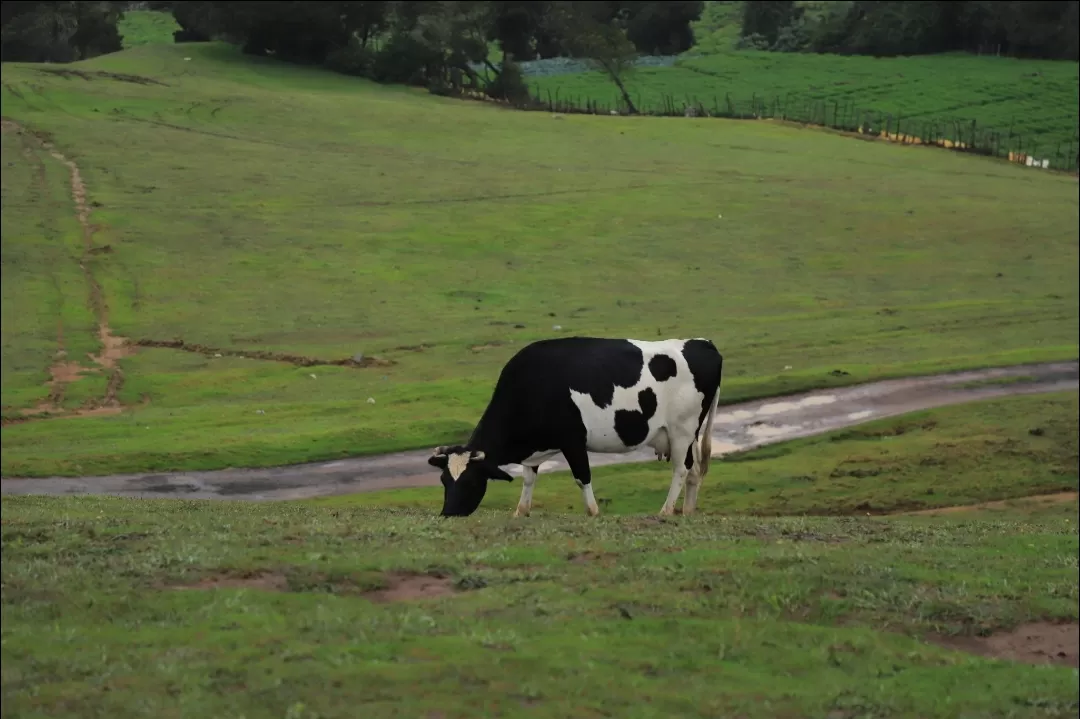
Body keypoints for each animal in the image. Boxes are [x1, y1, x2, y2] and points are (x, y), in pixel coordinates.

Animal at [425, 336, 721, 516]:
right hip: (688, 436)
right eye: (443, 480)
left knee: (681, 470)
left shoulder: (573, 441)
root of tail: (703, 343)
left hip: (682, 431)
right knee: (694, 472)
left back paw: (665, 511)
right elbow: (529, 478)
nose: (448, 514)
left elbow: (582, 477)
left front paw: (593, 512)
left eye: (470, 480)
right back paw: (687, 512)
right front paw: (521, 511)